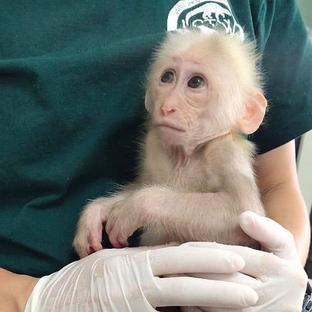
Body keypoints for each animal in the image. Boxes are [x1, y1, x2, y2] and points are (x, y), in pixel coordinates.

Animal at [73, 29, 268, 258]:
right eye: (167, 77)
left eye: (196, 82)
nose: (167, 107)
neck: (185, 156)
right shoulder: (153, 146)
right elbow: (142, 184)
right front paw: (97, 210)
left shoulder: (225, 151)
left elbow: (243, 211)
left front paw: (138, 206)